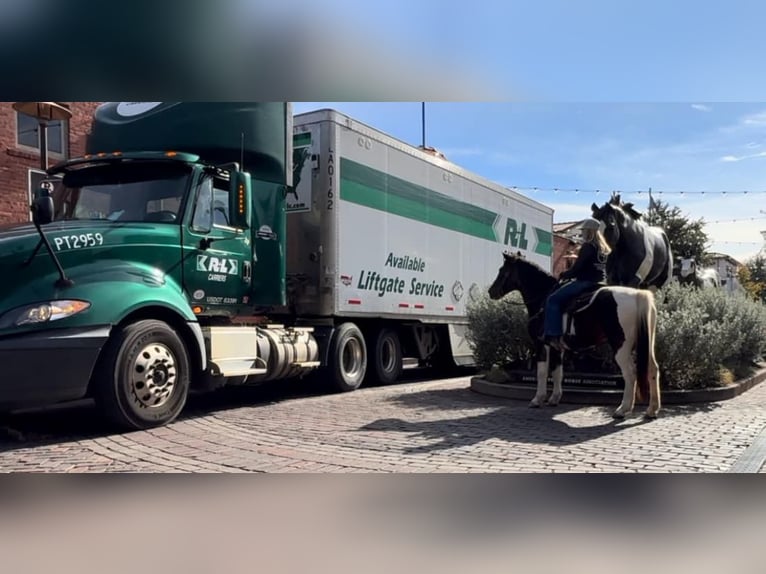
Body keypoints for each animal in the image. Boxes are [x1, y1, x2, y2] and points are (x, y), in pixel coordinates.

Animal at [496, 251, 664, 418]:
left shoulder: (541, 344)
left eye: (502, 271)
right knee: (653, 369)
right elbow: (557, 372)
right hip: (646, 345)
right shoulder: (556, 347)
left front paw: (537, 399)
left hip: (621, 347)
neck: (543, 297)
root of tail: (637, 295)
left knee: (630, 373)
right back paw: (652, 410)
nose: (492, 291)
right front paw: (554, 398)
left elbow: (542, 372)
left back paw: (623, 409)